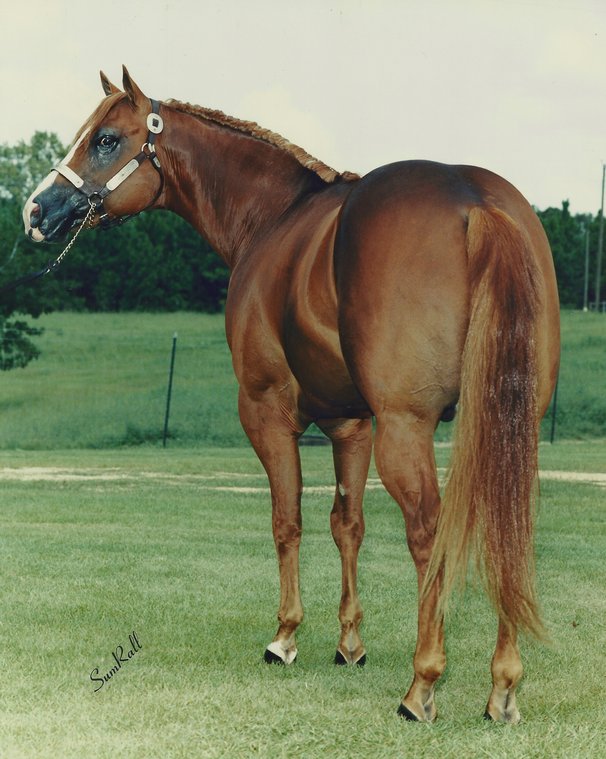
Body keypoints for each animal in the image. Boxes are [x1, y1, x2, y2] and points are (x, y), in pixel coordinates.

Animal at [22, 67, 560, 723]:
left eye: (105, 139)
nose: (35, 209)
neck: (273, 219)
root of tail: (475, 202)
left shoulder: (266, 411)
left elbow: (288, 520)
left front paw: (285, 636)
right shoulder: (351, 424)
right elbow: (347, 523)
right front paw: (349, 643)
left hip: (408, 429)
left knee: (428, 536)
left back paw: (423, 684)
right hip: (510, 428)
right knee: (509, 532)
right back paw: (502, 687)